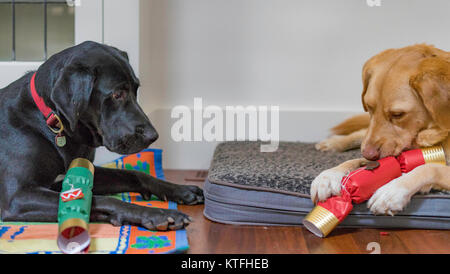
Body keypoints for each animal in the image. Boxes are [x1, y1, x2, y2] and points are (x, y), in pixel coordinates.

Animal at [0, 41, 204, 231]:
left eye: (136, 89)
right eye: (117, 94)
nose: (153, 136)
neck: (52, 123)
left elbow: (135, 174)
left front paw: (180, 190)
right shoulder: (18, 197)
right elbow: (104, 200)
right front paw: (157, 214)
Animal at [312, 44, 450, 215]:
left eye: (398, 114)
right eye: (369, 107)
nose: (369, 154)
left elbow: (429, 168)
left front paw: (392, 191)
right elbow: (354, 160)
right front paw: (329, 175)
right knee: (361, 135)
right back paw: (333, 143)